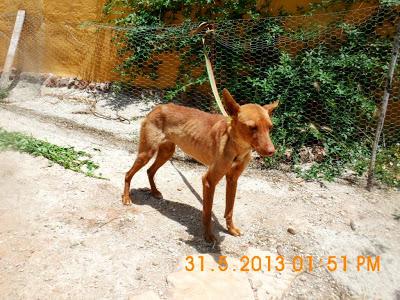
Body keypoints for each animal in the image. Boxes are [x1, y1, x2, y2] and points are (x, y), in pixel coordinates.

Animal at [122, 88, 278, 241]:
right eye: (252, 127)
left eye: (270, 127)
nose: (272, 151)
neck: (236, 146)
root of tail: (157, 107)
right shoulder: (208, 181)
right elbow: (207, 212)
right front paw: (208, 236)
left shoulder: (233, 179)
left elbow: (230, 209)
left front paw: (231, 229)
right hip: (146, 153)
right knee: (128, 174)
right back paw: (126, 198)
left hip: (166, 152)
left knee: (150, 171)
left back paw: (154, 192)